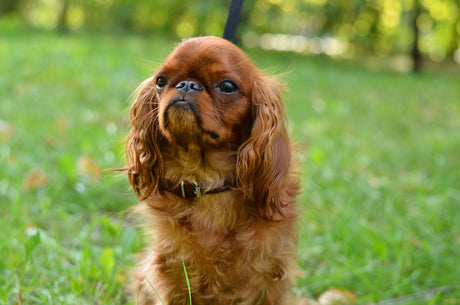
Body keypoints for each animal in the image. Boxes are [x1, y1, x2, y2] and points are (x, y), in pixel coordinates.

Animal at [124, 36, 300, 304]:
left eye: (227, 86)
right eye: (161, 81)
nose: (187, 84)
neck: (206, 179)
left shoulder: (270, 278)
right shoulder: (172, 274)